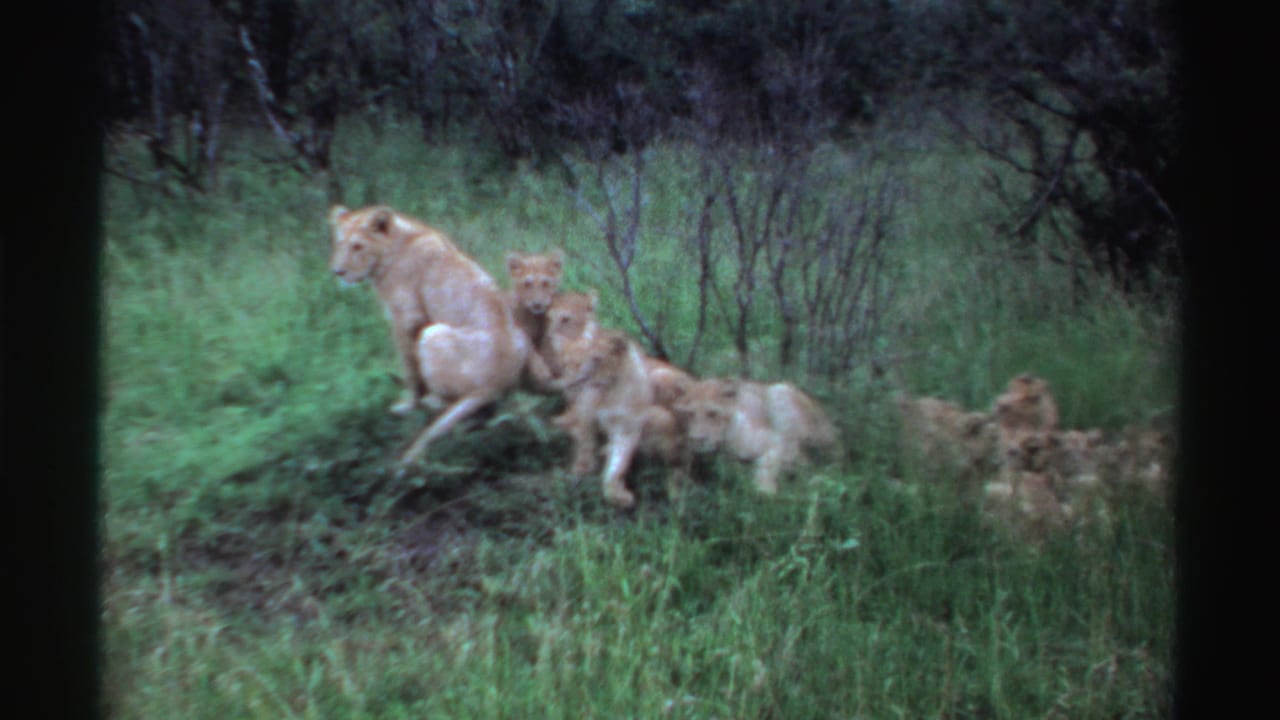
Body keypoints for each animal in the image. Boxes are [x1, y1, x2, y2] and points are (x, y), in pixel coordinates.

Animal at [328, 205, 529, 465]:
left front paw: (407, 404)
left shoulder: (406, 318)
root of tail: (496, 384)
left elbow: (410, 367)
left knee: (450, 402)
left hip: (433, 333)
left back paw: (431, 400)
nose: (338, 272)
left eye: (358, 246)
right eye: (339, 244)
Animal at [673, 377, 838, 495]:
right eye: (689, 414)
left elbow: (767, 466)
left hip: (779, 391)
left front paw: (765, 491)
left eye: (713, 414)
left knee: (810, 462)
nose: (697, 439)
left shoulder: (775, 441)